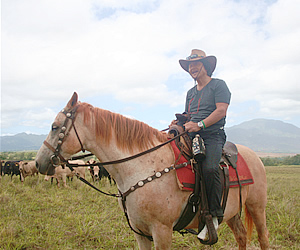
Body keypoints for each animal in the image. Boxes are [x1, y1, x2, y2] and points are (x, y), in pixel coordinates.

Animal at [35, 93, 270, 249]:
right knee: (241, 236)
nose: (39, 163)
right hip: (232, 212)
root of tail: (254, 157)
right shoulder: (141, 233)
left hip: (257, 207)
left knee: (263, 237)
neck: (142, 167)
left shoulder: (161, 231)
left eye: (55, 126)